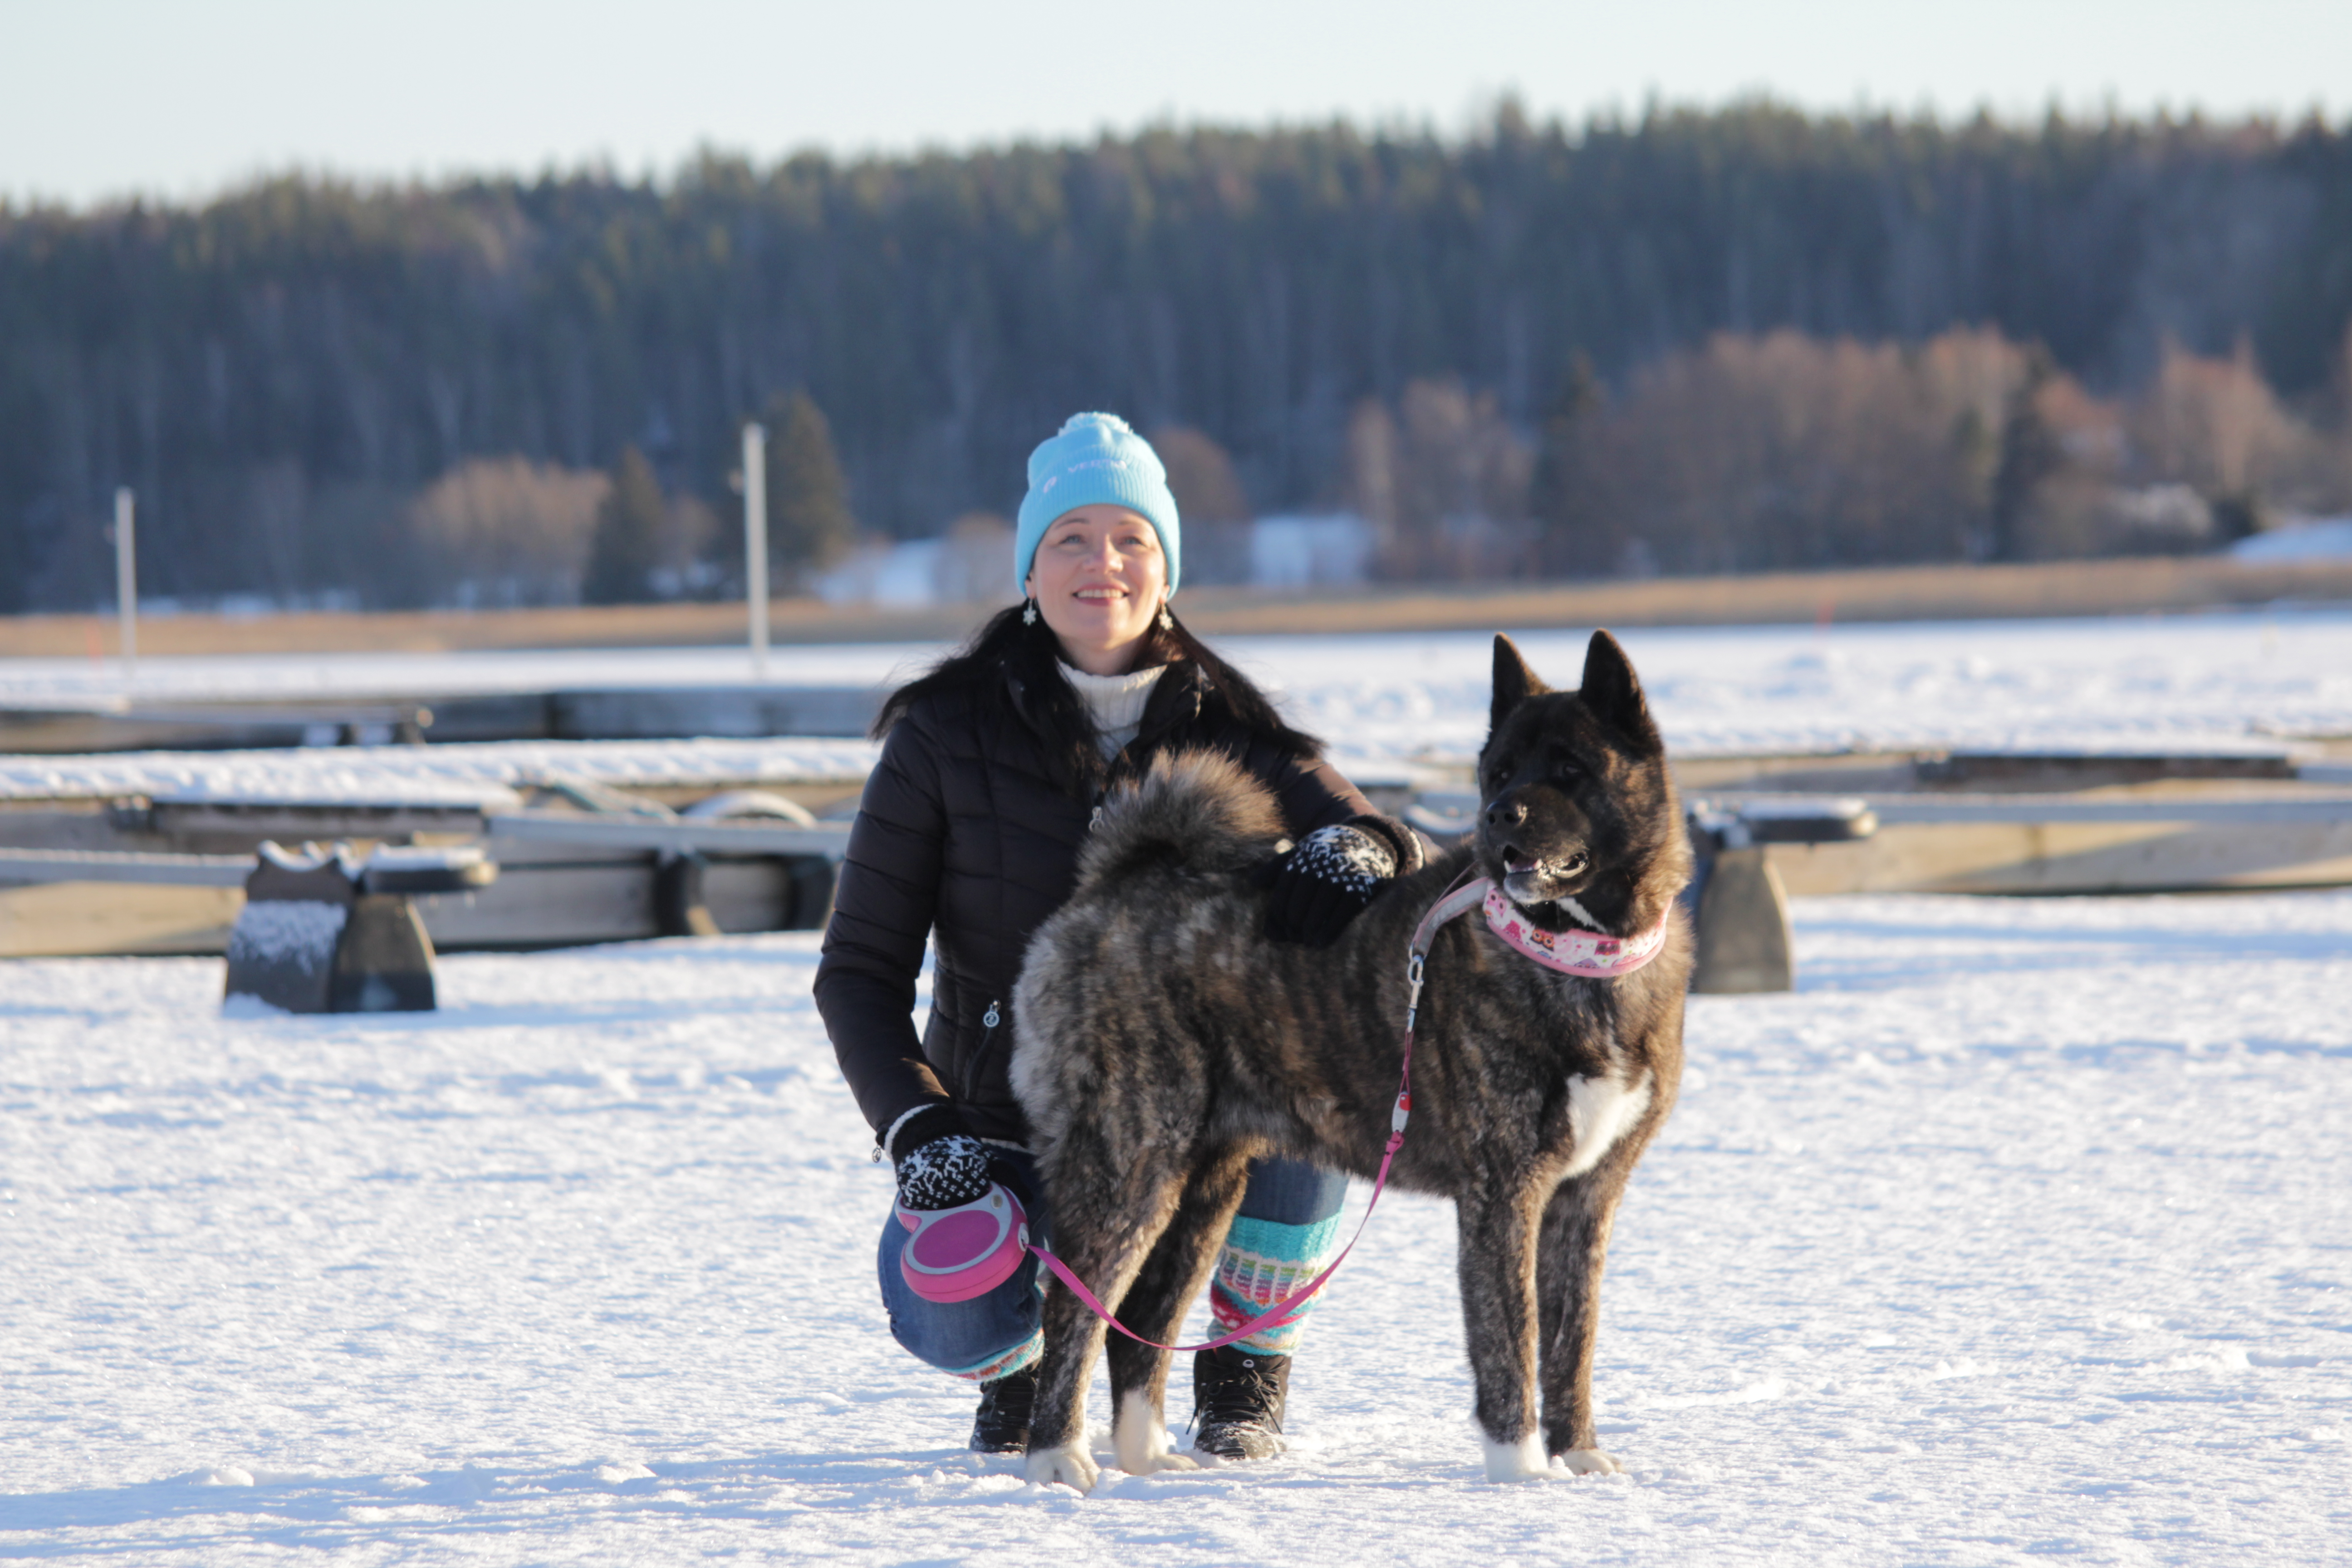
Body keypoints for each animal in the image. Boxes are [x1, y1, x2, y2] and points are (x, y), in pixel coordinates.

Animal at [1011, 630, 1693, 1495]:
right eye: (1500, 770)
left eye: (1569, 767)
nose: (1496, 815)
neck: (1574, 957)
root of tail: (1115, 881)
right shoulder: (1503, 1195)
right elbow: (1511, 1345)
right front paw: (1522, 1473)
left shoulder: (1586, 1199)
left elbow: (1572, 1345)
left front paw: (1578, 1457)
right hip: (1129, 1164)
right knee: (1073, 1307)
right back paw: (1055, 1458)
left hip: (1203, 1184)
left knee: (1140, 1321)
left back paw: (1147, 1455)